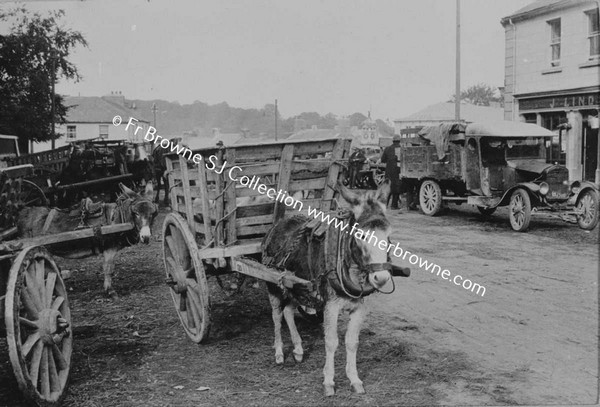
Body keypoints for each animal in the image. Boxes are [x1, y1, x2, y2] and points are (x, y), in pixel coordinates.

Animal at [15, 184, 159, 296]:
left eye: (153, 214)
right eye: (136, 213)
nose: (145, 237)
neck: (116, 218)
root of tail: (22, 214)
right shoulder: (110, 248)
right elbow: (108, 268)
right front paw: (109, 291)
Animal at [262, 180, 394, 396]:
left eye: (389, 235)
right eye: (361, 234)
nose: (381, 277)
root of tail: (278, 223)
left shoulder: (360, 307)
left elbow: (352, 342)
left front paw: (355, 379)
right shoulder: (330, 306)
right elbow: (332, 342)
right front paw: (329, 382)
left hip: (299, 287)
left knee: (288, 311)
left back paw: (298, 349)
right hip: (273, 284)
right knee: (276, 315)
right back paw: (279, 352)